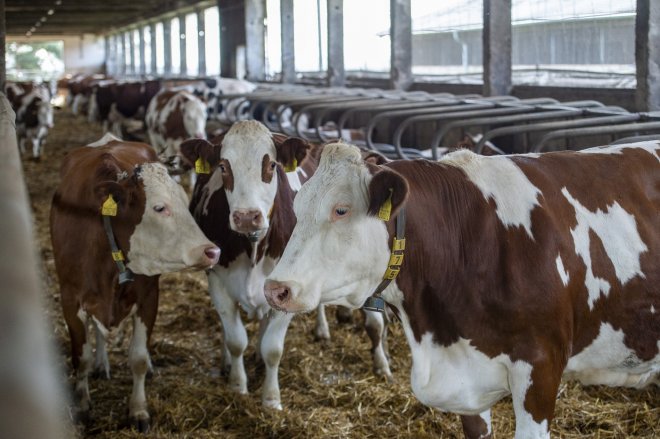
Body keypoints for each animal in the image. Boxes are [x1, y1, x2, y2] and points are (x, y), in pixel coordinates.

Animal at [51, 132, 222, 432]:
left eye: (184, 200)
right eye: (159, 207)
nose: (212, 251)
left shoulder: (148, 296)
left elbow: (138, 359)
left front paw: (138, 410)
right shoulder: (70, 299)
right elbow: (80, 359)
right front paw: (82, 406)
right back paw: (101, 364)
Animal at [178, 119, 390, 410]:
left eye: (271, 166)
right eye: (223, 167)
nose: (247, 216)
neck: (254, 246)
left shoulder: (286, 287)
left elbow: (273, 349)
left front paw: (271, 399)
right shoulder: (218, 280)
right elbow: (235, 341)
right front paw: (237, 385)